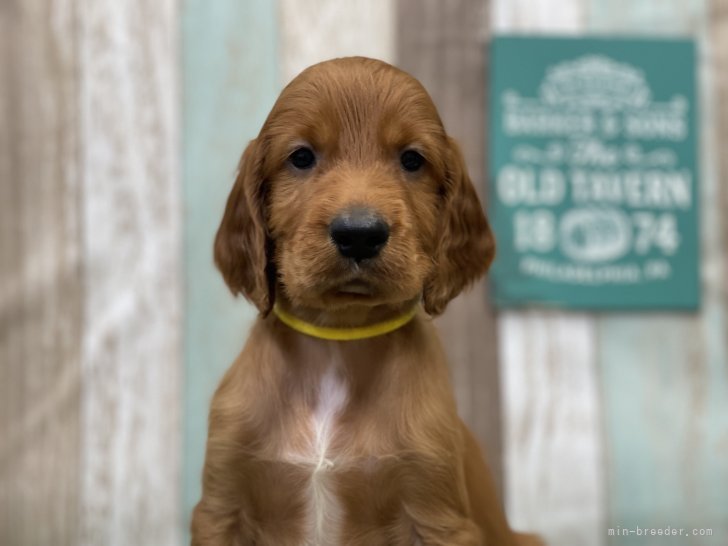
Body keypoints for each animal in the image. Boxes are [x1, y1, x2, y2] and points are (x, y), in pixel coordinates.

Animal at [191, 56, 544, 544]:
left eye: (412, 160)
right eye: (301, 157)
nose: (359, 233)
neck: (338, 344)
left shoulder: (437, 513)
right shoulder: (221, 506)